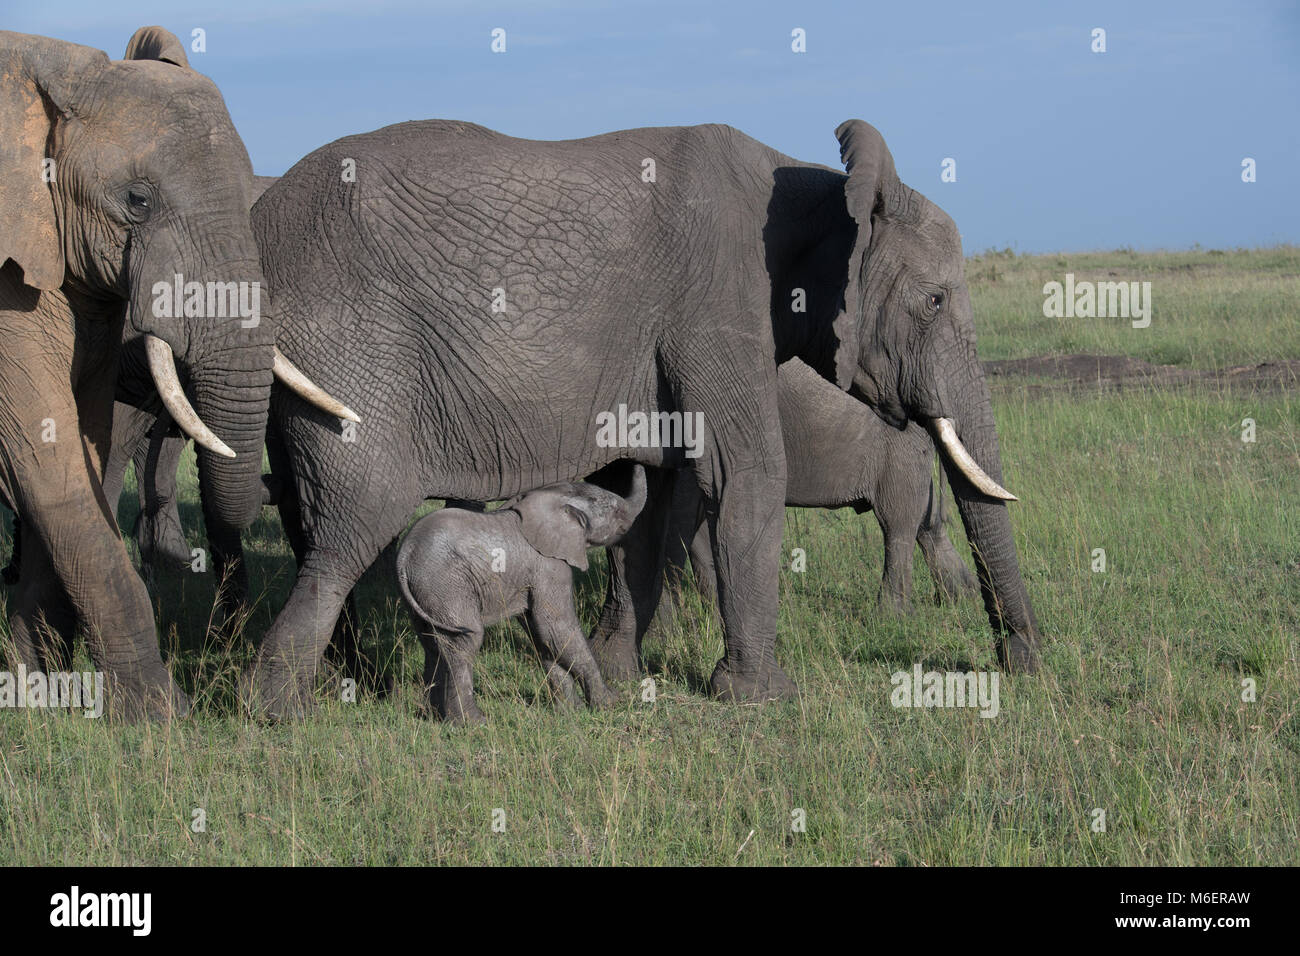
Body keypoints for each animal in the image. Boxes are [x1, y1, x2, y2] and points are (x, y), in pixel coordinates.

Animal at [0, 27, 345, 717]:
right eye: (136, 200)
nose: (279, 483)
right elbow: (46, 457)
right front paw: (157, 713)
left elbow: (87, 443)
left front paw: (38, 678)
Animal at [390, 465, 644, 723]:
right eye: (616, 511)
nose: (637, 465)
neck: (554, 498)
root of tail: (405, 555)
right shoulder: (549, 565)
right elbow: (556, 627)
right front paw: (610, 702)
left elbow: (541, 635)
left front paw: (571, 711)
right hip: (446, 583)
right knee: (464, 641)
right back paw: (474, 723)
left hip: (425, 591)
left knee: (432, 644)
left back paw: (434, 717)